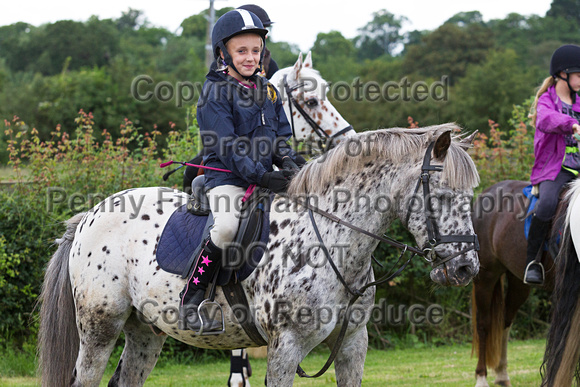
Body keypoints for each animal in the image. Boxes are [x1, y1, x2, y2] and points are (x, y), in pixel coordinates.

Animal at [37, 125, 480, 387]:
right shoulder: (285, 347)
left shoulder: (353, 344)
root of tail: (89, 215)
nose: (465, 268)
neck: (332, 240)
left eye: (470, 196)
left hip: (146, 331)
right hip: (100, 327)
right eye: (443, 196)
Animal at [468, 181, 560, 387]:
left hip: (519, 282)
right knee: (484, 324)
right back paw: (481, 377)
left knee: (505, 320)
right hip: (486, 278)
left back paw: (502, 374)